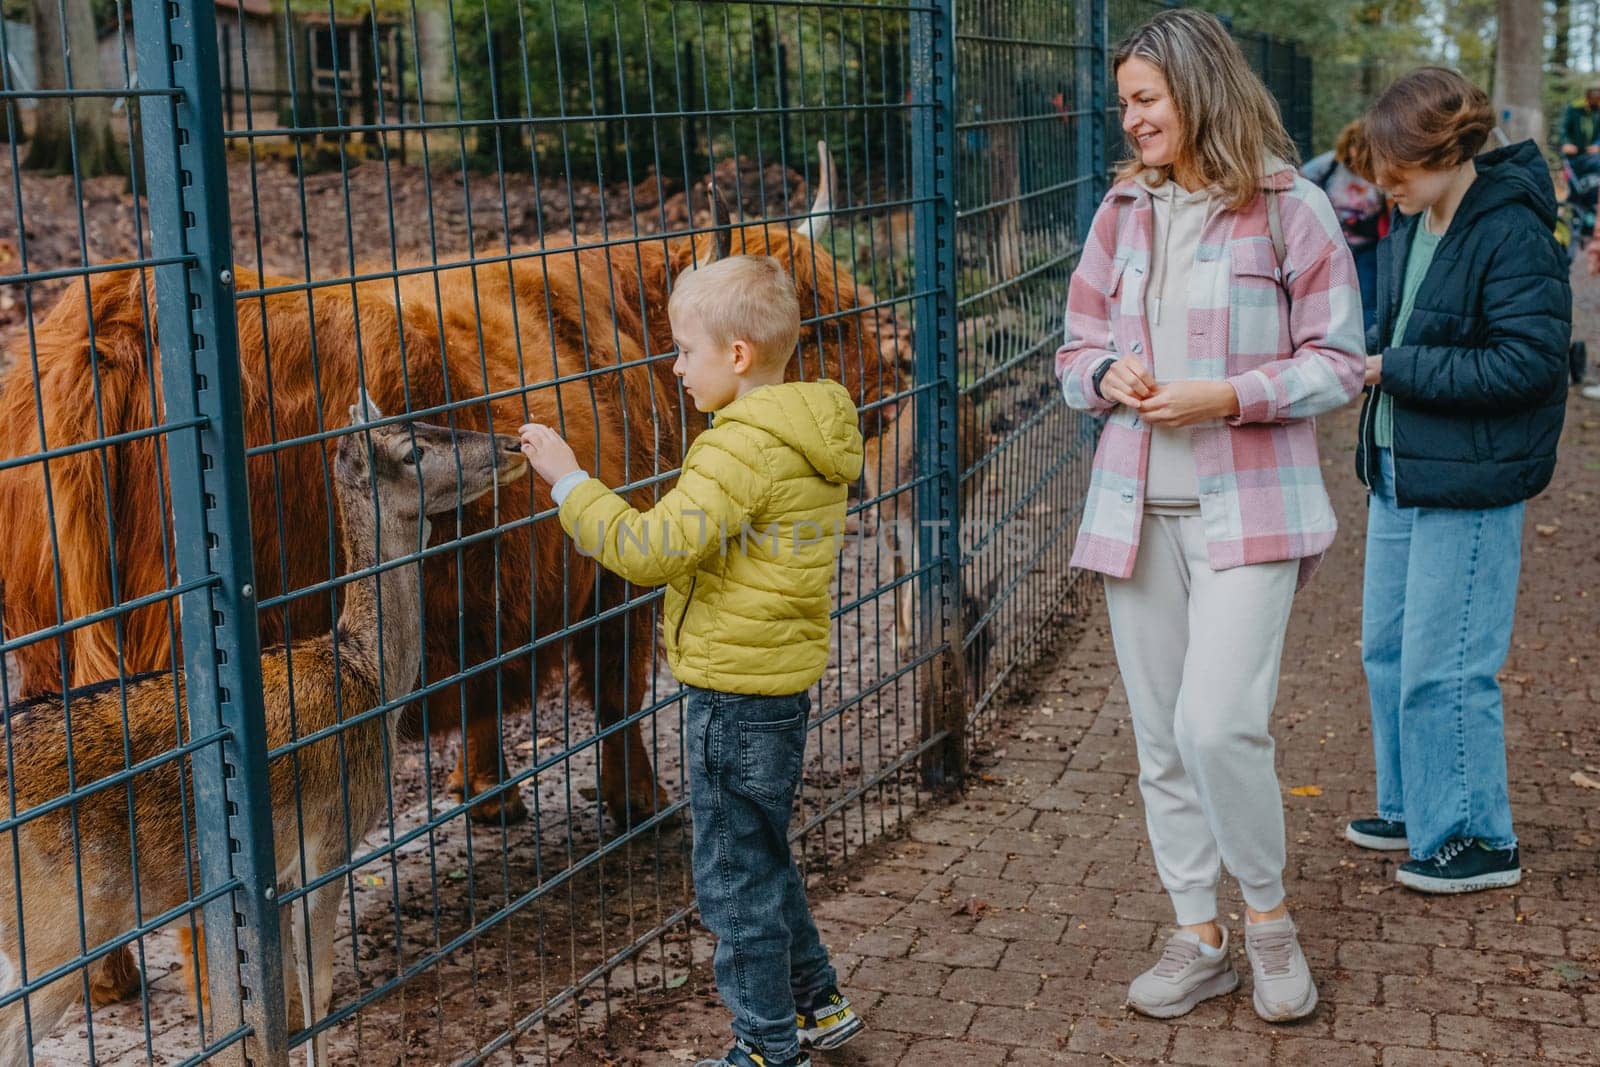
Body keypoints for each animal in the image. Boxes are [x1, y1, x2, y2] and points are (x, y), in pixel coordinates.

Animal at [0, 398, 524, 1067]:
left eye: (430, 420)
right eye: (413, 451)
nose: (512, 444)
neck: (367, 680)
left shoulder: (276, 874)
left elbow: (285, 994)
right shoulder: (330, 838)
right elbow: (318, 991)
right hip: (57, 929)